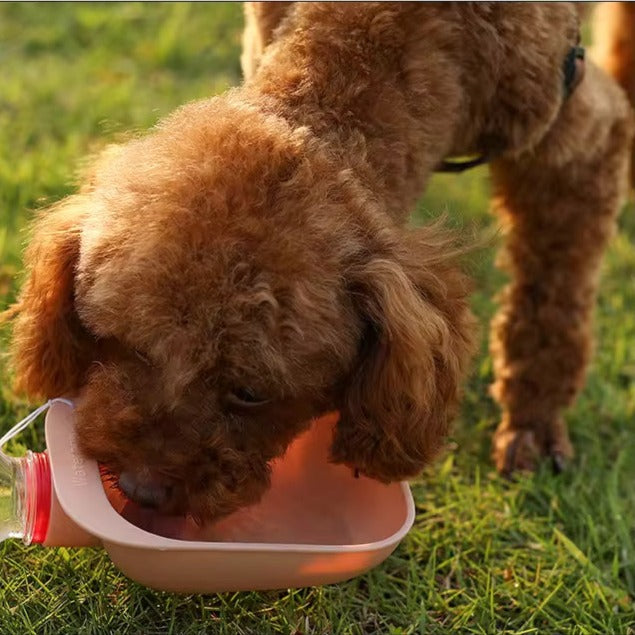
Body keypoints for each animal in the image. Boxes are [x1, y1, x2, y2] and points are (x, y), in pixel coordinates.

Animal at [4, 3, 635, 520]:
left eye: (251, 392)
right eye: (125, 345)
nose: (141, 490)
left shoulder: (577, 136)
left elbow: (551, 303)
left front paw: (533, 424)